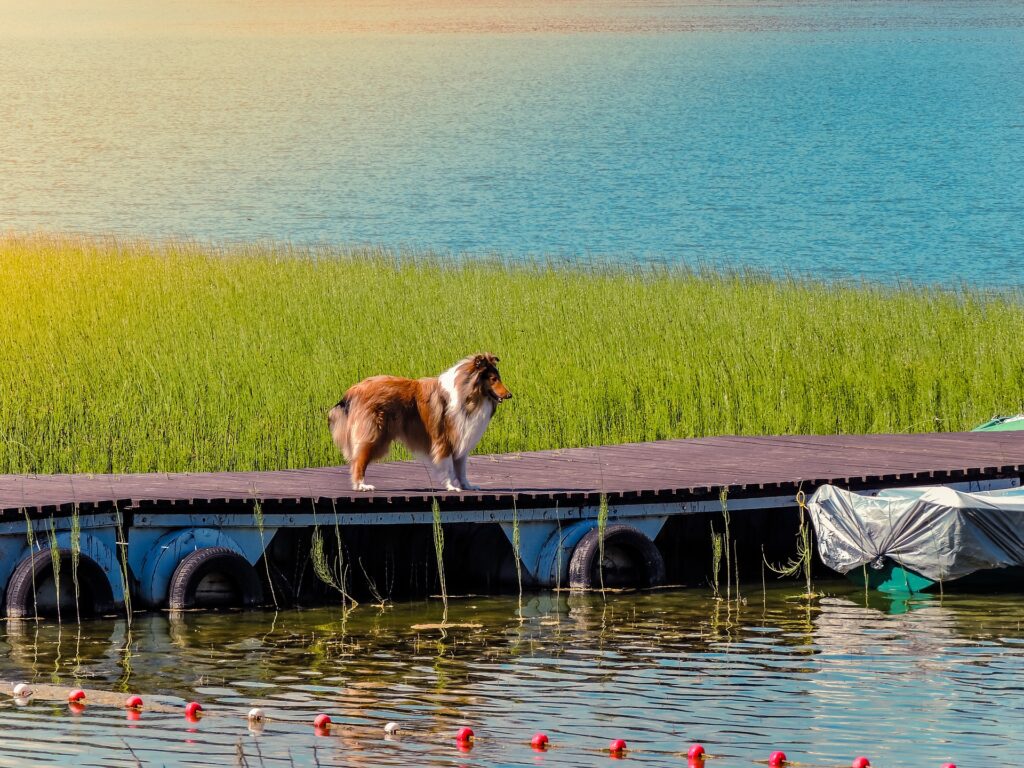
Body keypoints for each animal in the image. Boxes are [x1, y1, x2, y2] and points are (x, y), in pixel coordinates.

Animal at [327, 354, 512, 493]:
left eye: (498, 378)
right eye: (493, 379)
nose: (510, 395)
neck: (467, 394)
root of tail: (354, 389)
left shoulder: (461, 438)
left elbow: (461, 469)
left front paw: (467, 486)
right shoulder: (444, 439)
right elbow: (447, 466)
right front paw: (451, 487)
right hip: (375, 436)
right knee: (358, 460)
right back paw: (361, 486)